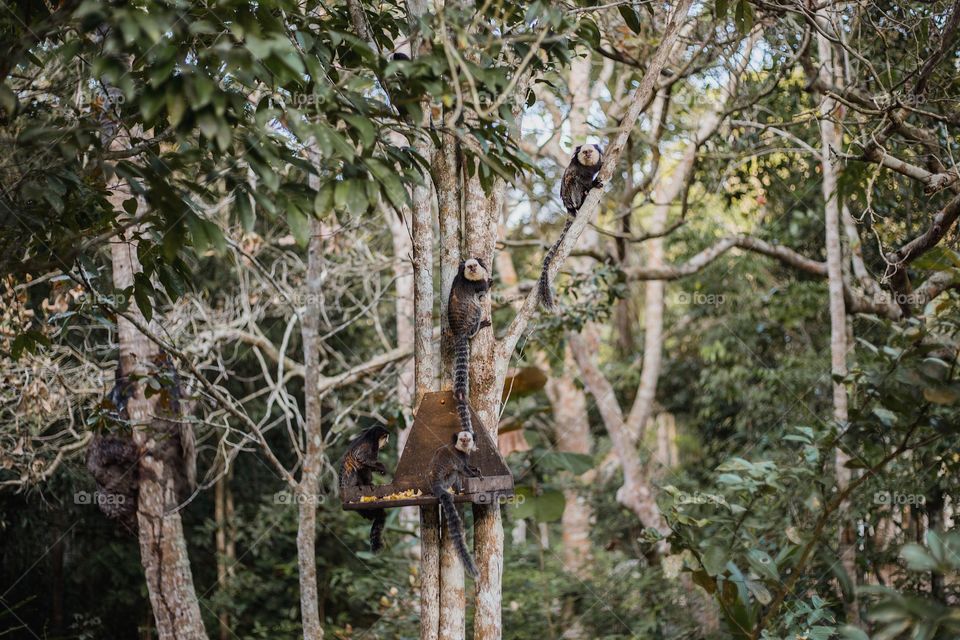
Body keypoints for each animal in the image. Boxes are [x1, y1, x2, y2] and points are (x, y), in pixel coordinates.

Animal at [338, 424, 391, 553]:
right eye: (386, 437)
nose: (387, 442)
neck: (370, 434)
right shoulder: (372, 444)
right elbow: (361, 458)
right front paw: (382, 467)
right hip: (350, 483)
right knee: (361, 468)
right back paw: (363, 484)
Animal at [429, 430, 483, 577]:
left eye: (467, 439)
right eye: (462, 439)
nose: (465, 443)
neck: (462, 450)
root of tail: (436, 485)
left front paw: (476, 469)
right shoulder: (459, 457)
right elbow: (463, 470)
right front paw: (475, 475)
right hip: (446, 482)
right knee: (455, 472)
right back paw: (458, 491)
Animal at [538, 144, 604, 310]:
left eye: (590, 151)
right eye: (584, 152)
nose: (587, 155)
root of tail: (568, 208)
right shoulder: (577, 170)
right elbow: (577, 178)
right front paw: (593, 184)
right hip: (571, 198)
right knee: (573, 183)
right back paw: (583, 200)